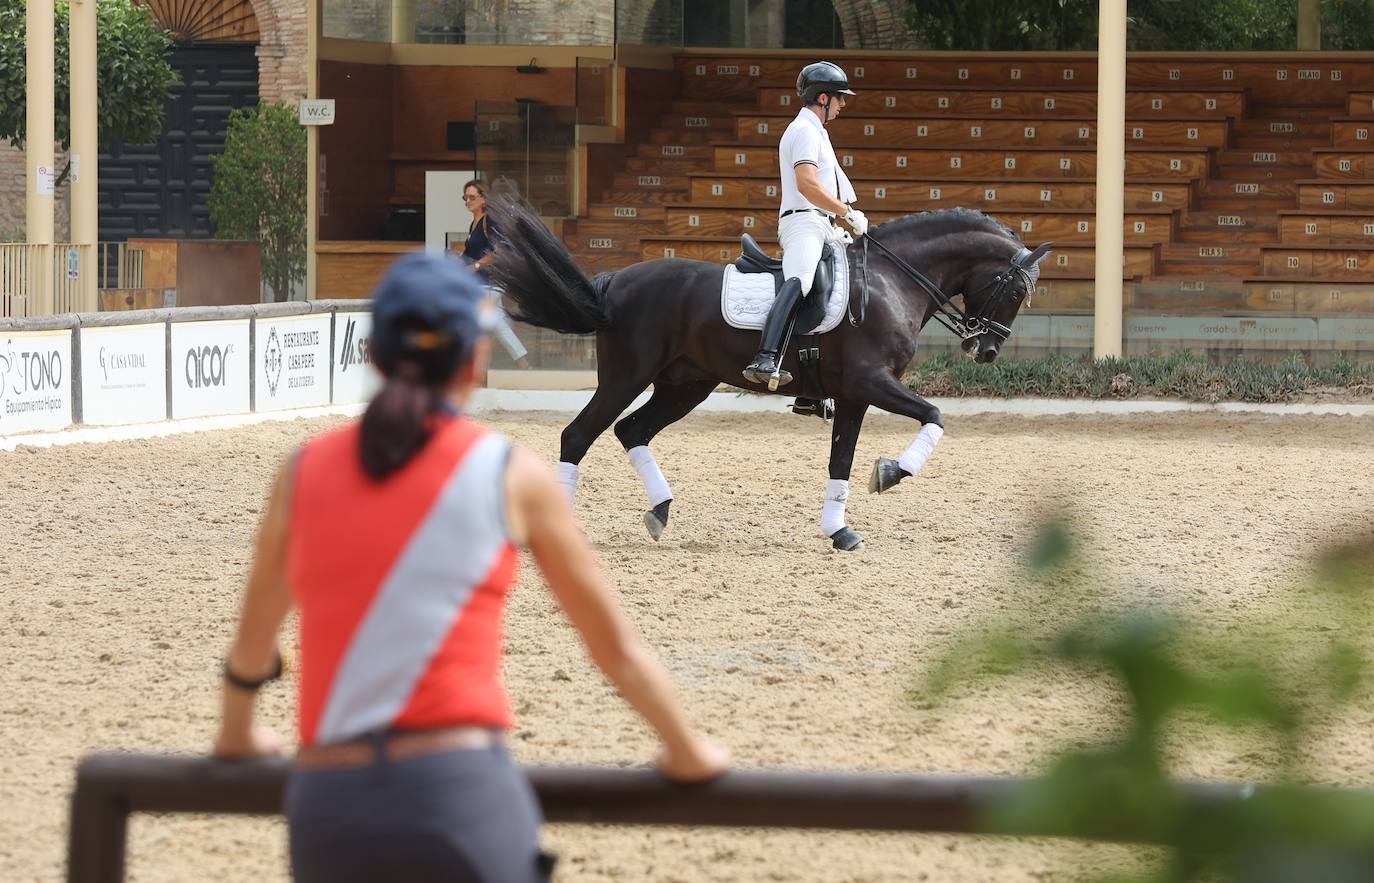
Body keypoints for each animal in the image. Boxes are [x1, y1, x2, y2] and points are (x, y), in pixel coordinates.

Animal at [486, 199, 1049, 552]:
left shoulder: (854, 395)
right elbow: (934, 414)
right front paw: (890, 473)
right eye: (1015, 290)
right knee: (579, 433)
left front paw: (840, 531)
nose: (986, 350)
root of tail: (617, 280)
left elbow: (841, 461)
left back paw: (661, 511)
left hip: (685, 385)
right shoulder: (869, 382)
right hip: (626, 377)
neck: (892, 280)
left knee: (631, 430)